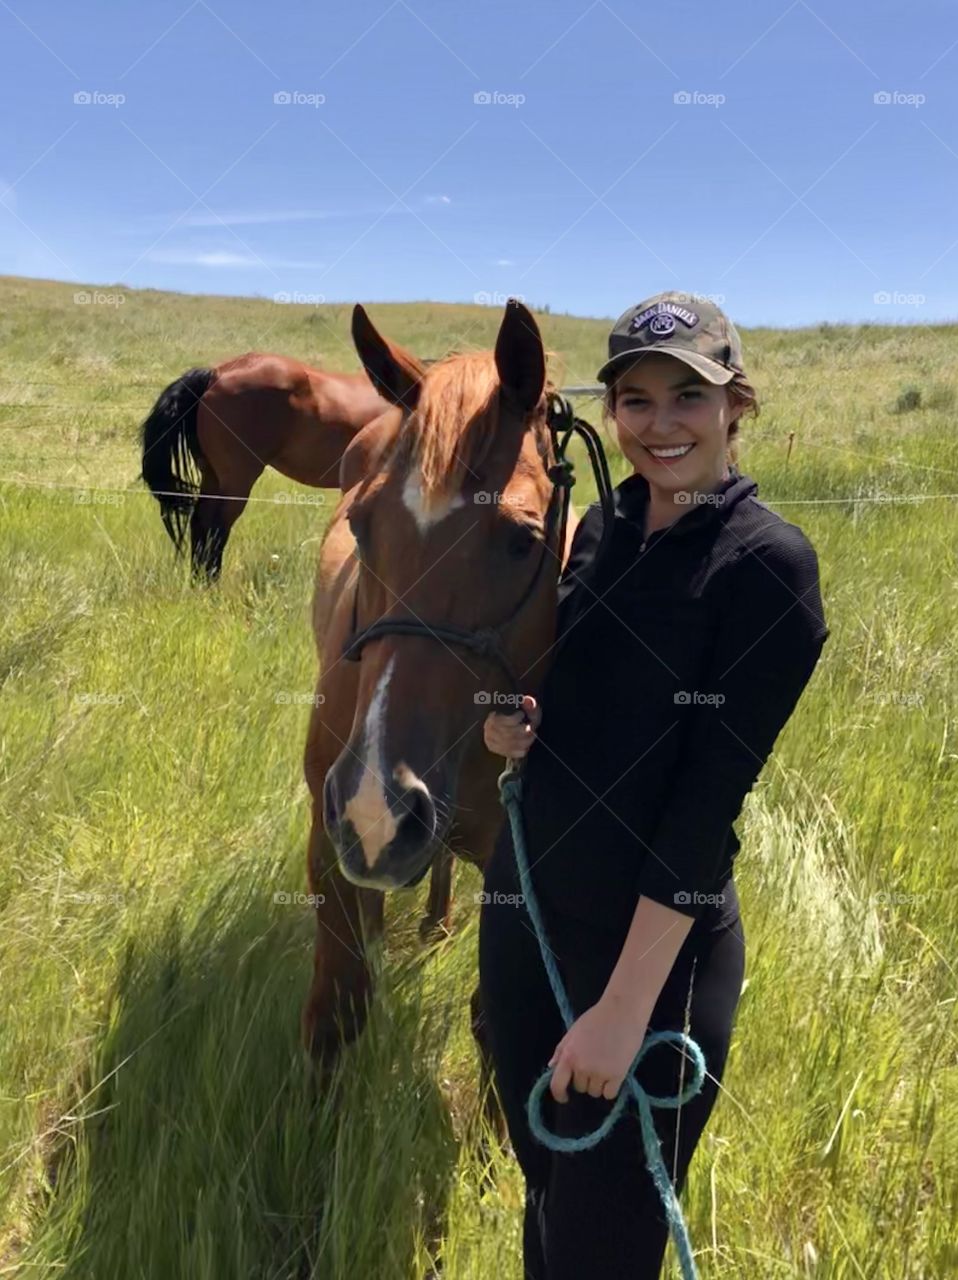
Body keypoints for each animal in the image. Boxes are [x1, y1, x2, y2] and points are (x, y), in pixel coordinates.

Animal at [303, 302, 578, 1141]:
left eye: (524, 540)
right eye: (362, 526)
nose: (378, 808)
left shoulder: (513, 869)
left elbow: (497, 1017)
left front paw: (499, 1145)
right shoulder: (327, 840)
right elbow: (337, 1007)